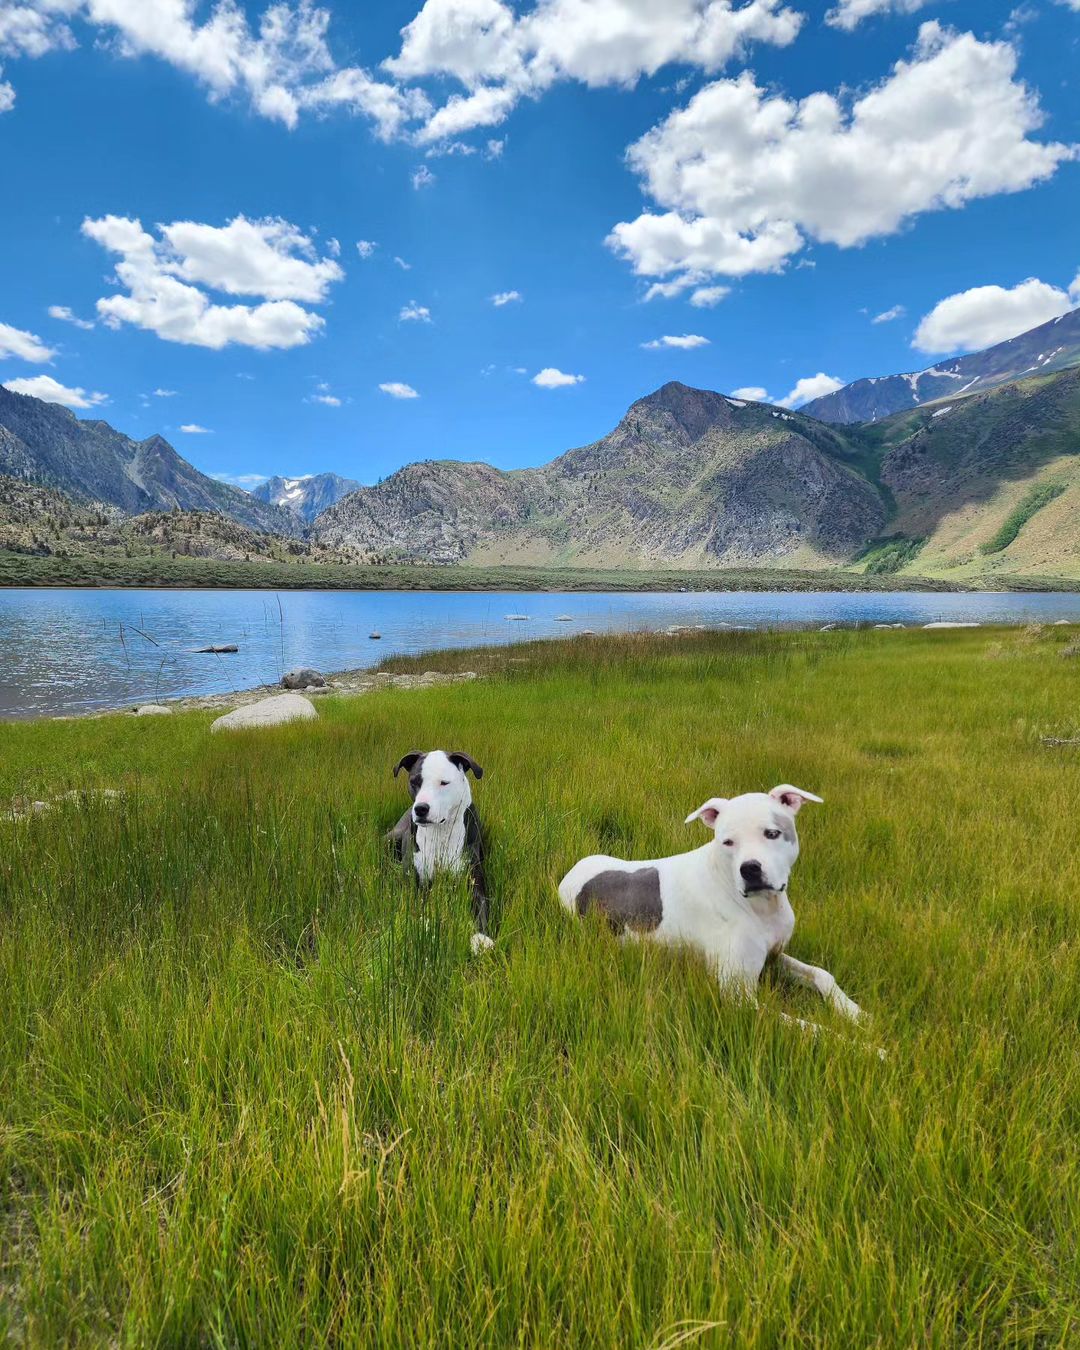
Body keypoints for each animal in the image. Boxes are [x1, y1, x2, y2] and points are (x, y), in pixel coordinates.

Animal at [388, 756, 494, 955]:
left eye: (444, 783)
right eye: (415, 782)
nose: (420, 809)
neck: (441, 832)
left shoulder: (474, 881)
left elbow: (481, 906)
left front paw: (481, 938)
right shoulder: (416, 882)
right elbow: (417, 904)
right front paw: (424, 927)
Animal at [561, 788, 864, 1015]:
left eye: (772, 833)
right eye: (727, 842)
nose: (750, 869)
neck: (762, 907)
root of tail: (570, 876)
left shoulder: (774, 956)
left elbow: (821, 974)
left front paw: (855, 1013)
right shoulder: (739, 998)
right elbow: (811, 1029)